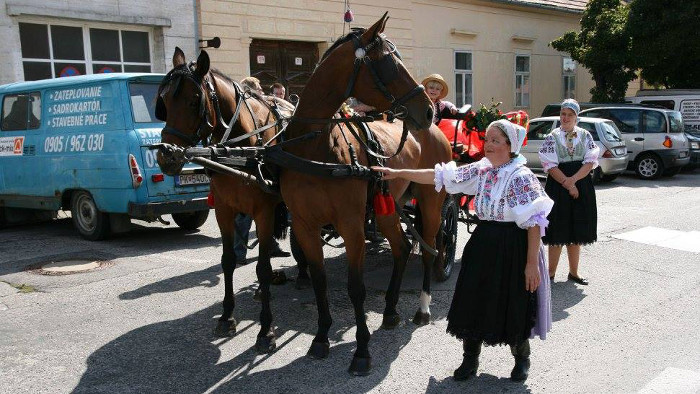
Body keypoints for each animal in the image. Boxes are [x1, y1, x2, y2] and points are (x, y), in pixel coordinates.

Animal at [154, 47, 300, 352]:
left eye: (194, 100)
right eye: (164, 100)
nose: (166, 156)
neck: (242, 150)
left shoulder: (264, 211)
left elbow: (262, 266)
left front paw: (266, 330)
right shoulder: (224, 210)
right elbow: (229, 261)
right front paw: (226, 317)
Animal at [280, 13, 452, 374]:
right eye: (389, 63)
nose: (428, 110)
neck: (315, 149)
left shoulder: (352, 225)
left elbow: (355, 288)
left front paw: (361, 351)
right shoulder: (304, 225)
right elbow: (318, 281)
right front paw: (321, 338)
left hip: (431, 203)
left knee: (430, 250)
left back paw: (422, 308)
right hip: (388, 208)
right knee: (402, 248)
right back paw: (390, 312)